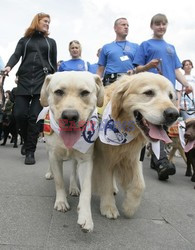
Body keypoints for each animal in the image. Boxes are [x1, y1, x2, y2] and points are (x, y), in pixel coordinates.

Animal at [39, 71, 103, 232]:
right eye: (59, 92)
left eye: (85, 93)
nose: (69, 116)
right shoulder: (54, 156)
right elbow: (59, 181)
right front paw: (61, 202)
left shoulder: (86, 160)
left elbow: (86, 189)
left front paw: (86, 217)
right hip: (48, 150)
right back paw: (49, 174)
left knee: (74, 170)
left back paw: (74, 187)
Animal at [92, 72, 179, 219]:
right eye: (149, 92)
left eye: (171, 96)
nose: (173, 114)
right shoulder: (104, 158)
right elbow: (106, 182)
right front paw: (109, 207)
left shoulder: (133, 157)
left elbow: (139, 185)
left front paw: (130, 206)